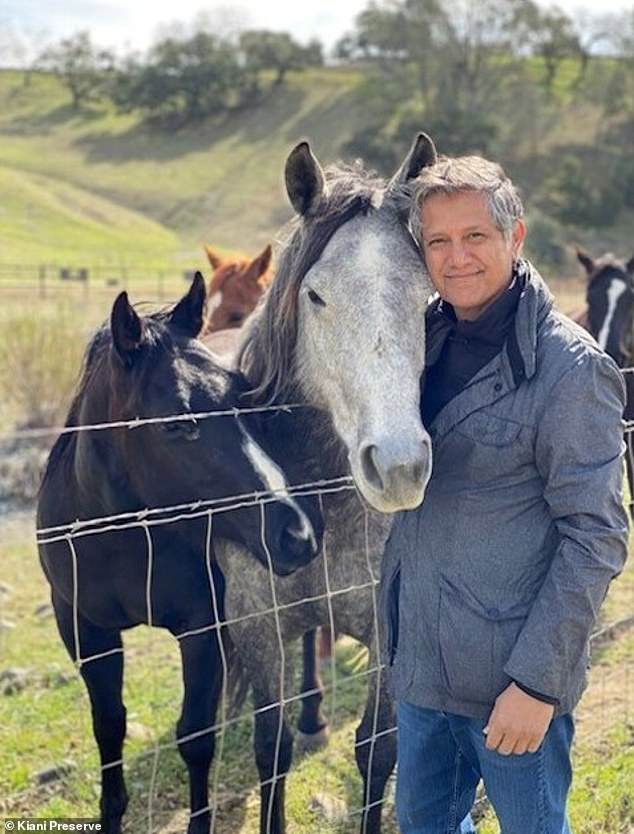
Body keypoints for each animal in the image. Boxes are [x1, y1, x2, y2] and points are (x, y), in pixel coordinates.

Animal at [35, 274, 320, 832]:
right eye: (176, 423)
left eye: (245, 402)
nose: (296, 532)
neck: (121, 540)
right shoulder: (82, 629)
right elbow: (108, 725)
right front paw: (111, 813)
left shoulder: (201, 628)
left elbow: (195, 737)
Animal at [210, 133, 436, 828]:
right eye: (315, 296)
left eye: (429, 297)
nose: (399, 467)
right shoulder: (257, 627)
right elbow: (271, 749)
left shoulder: (393, 637)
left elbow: (377, 749)